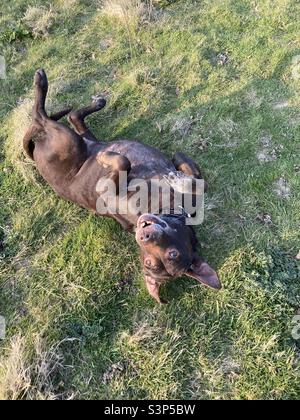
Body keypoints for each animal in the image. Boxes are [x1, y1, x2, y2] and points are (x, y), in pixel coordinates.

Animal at [22, 70, 220, 304]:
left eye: (168, 257)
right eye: (150, 262)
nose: (142, 235)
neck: (166, 208)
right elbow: (196, 180)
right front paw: (178, 173)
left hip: (70, 141)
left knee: (54, 117)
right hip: (71, 141)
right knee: (52, 116)